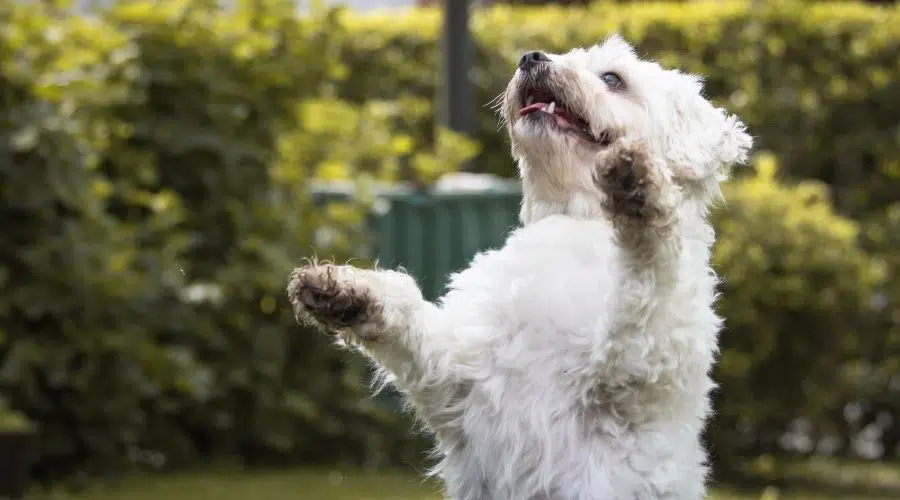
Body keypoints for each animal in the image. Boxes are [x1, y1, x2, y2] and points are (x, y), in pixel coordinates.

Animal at [286, 36, 752, 500]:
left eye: (612, 78)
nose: (530, 58)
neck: (577, 219)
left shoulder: (640, 366)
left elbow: (650, 271)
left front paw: (642, 190)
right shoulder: (459, 377)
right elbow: (410, 315)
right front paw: (346, 292)